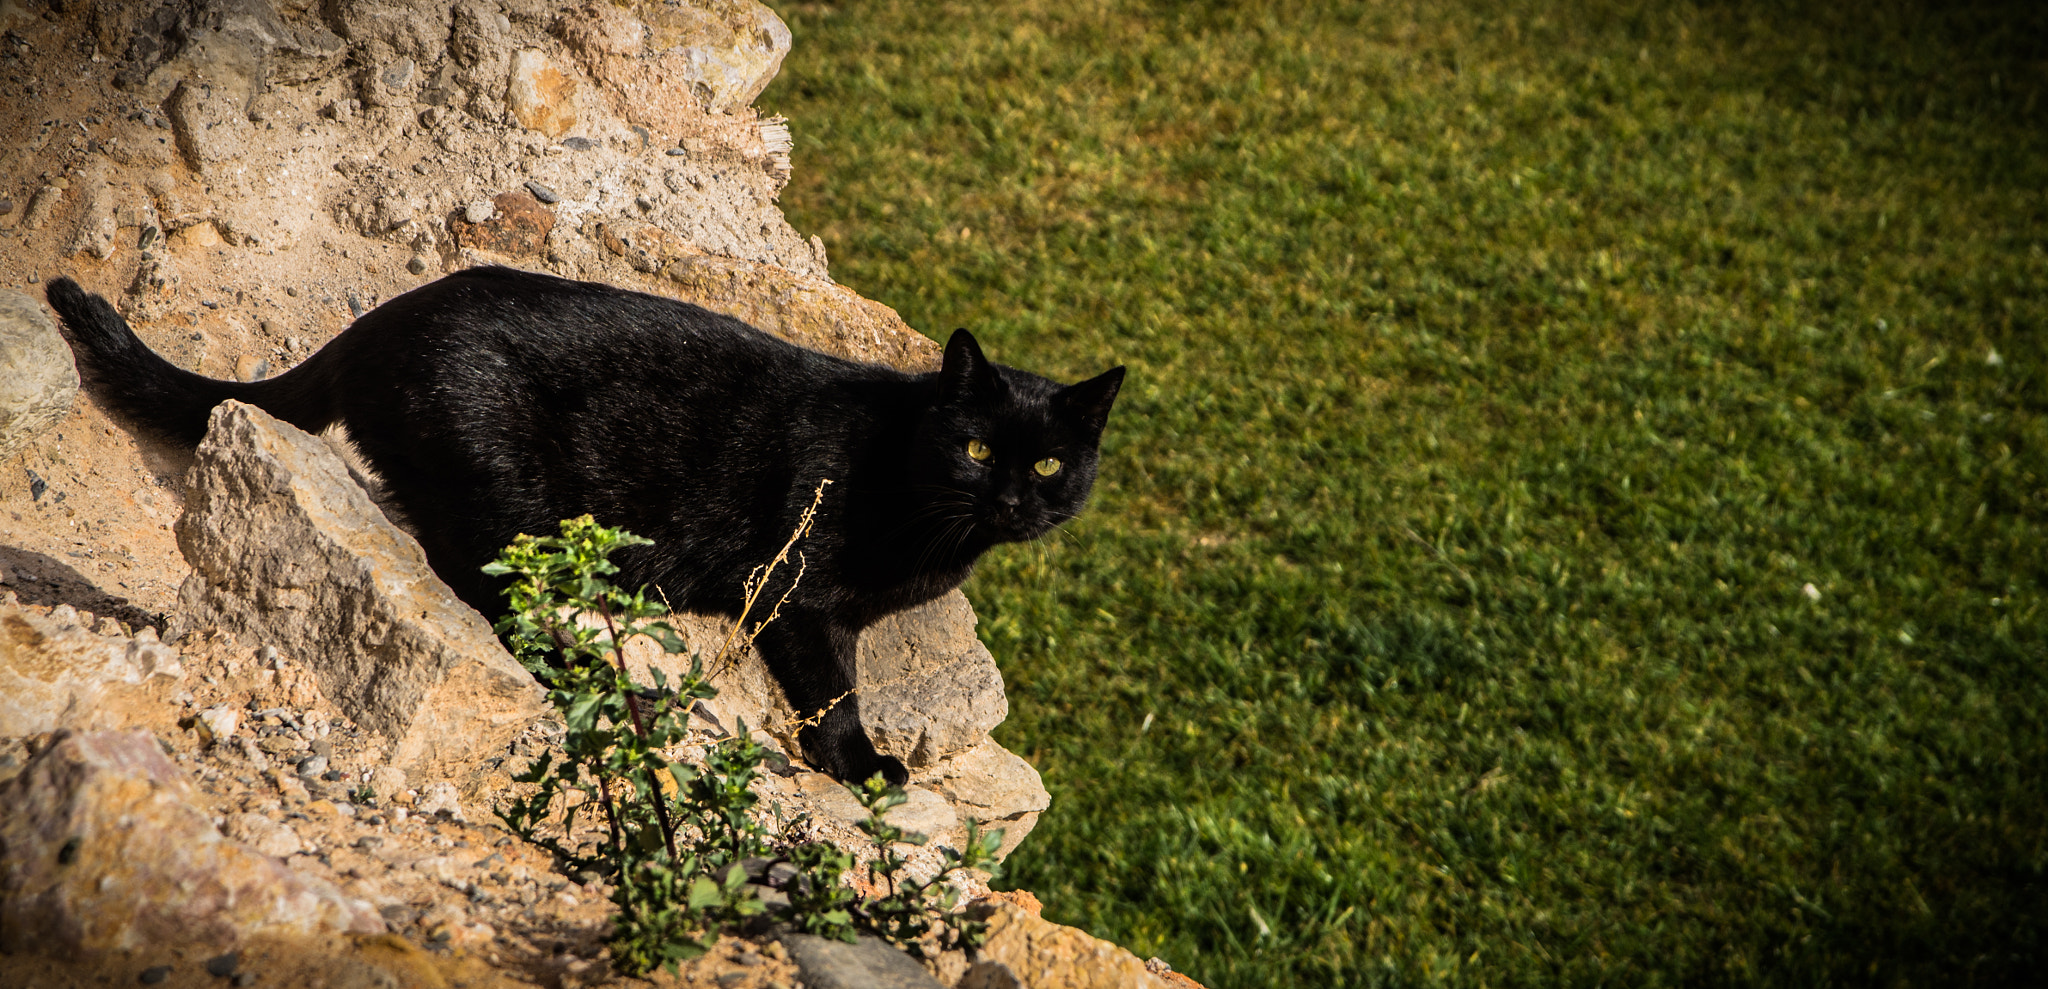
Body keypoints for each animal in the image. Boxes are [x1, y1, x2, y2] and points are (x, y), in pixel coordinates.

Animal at [39, 266, 1130, 786]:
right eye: (977, 448)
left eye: (1047, 464)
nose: (1014, 498)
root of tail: (382, 320)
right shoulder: (795, 593)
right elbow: (831, 691)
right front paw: (859, 767)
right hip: (511, 504)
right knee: (491, 604)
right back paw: (617, 693)